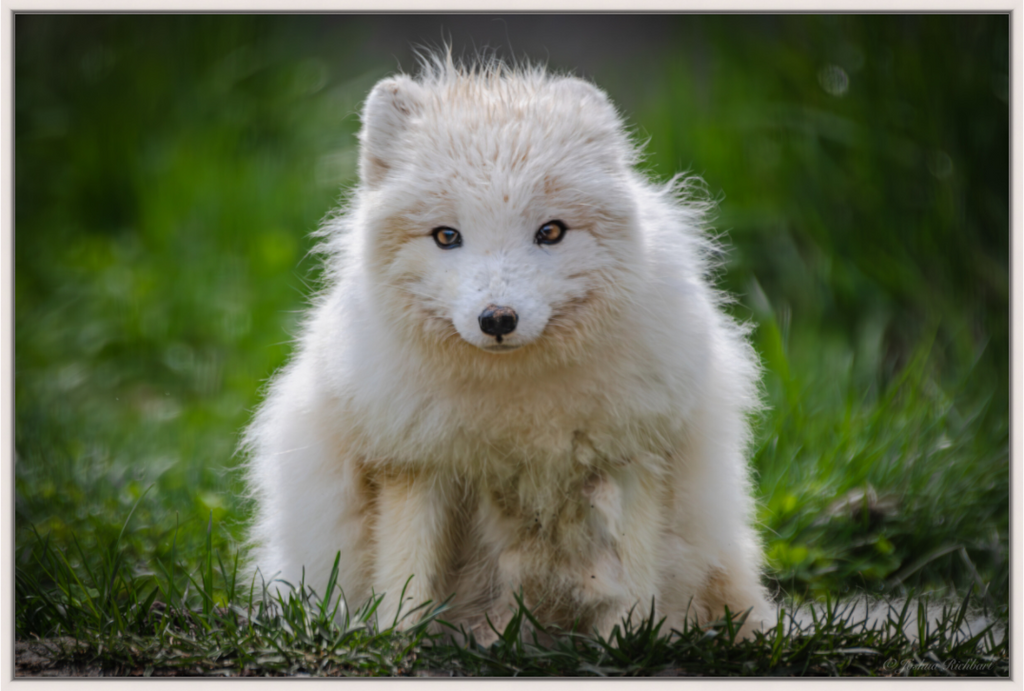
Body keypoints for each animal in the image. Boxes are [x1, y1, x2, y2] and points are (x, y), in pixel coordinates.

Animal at [243, 54, 773, 643]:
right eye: (447, 236)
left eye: (551, 231)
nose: (497, 319)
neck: (518, 409)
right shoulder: (413, 465)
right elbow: (407, 578)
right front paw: (398, 644)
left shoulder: (634, 457)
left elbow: (633, 587)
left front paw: (629, 646)